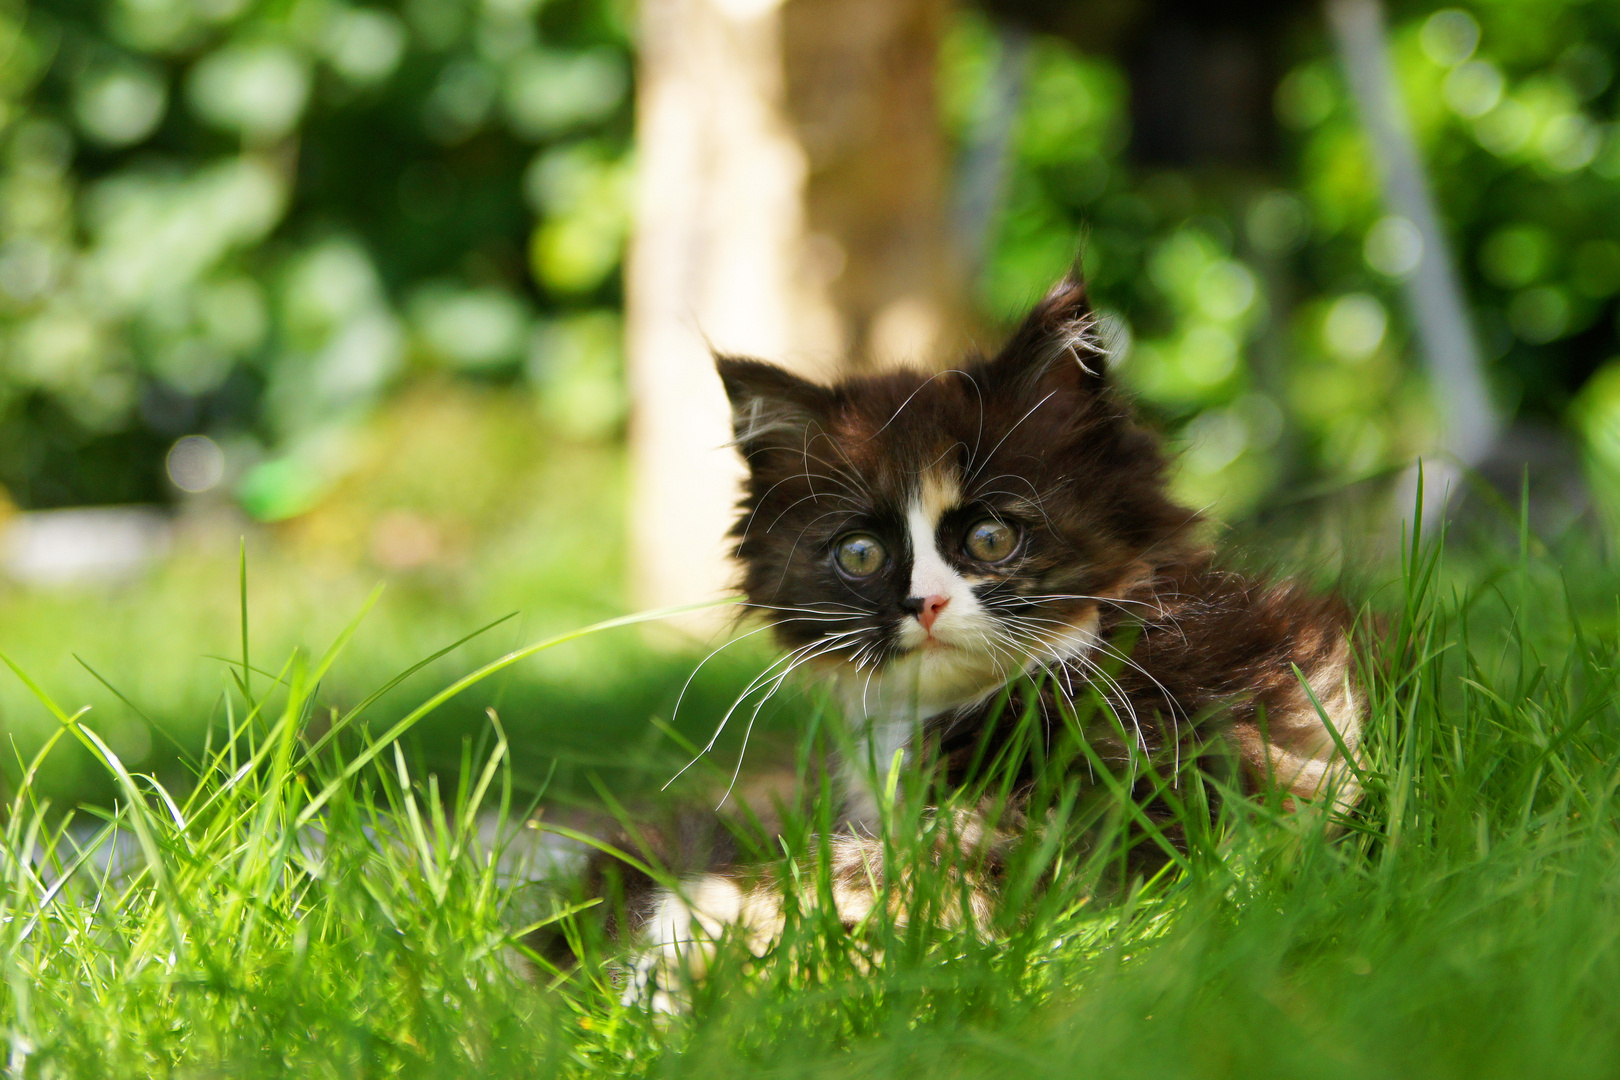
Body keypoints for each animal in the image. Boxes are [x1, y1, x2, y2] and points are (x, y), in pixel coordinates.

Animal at [618, 272, 1367, 1016]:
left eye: (989, 538)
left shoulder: (1129, 804)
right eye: (860, 553)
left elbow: (884, 874)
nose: (924, 603)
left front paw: (682, 947)